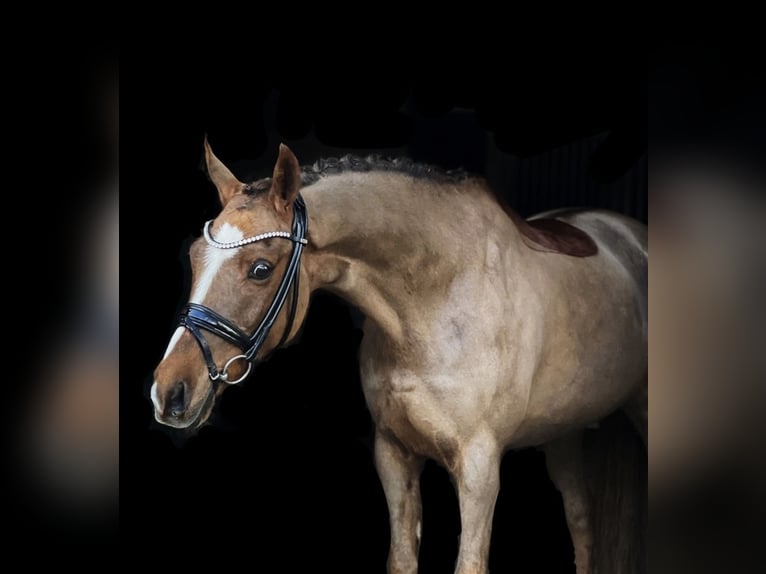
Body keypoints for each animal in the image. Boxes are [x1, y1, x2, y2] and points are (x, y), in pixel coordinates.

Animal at [150, 141, 648, 574]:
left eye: (260, 269)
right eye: (194, 255)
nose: (168, 392)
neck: (435, 295)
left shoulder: (479, 468)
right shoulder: (393, 453)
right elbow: (402, 560)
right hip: (562, 432)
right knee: (581, 522)